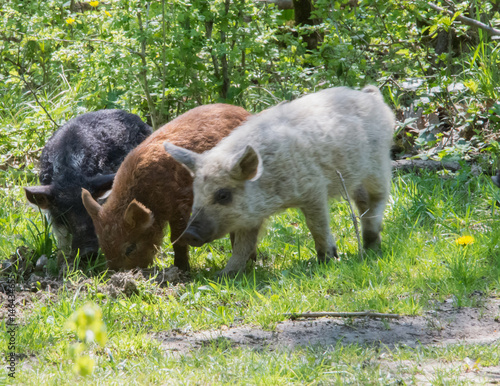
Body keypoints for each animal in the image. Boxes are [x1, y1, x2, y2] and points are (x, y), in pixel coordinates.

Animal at [83, 104, 252, 270]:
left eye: (130, 248)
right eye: (104, 247)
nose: (115, 273)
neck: (150, 195)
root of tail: (244, 111)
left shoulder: (180, 204)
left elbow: (177, 238)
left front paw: (181, 269)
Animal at [166, 86, 396, 276]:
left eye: (223, 195)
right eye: (196, 192)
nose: (189, 234)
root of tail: (371, 96)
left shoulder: (314, 190)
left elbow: (317, 226)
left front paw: (326, 261)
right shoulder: (250, 215)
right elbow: (243, 244)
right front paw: (224, 275)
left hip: (378, 164)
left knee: (378, 197)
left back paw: (371, 248)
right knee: (362, 201)